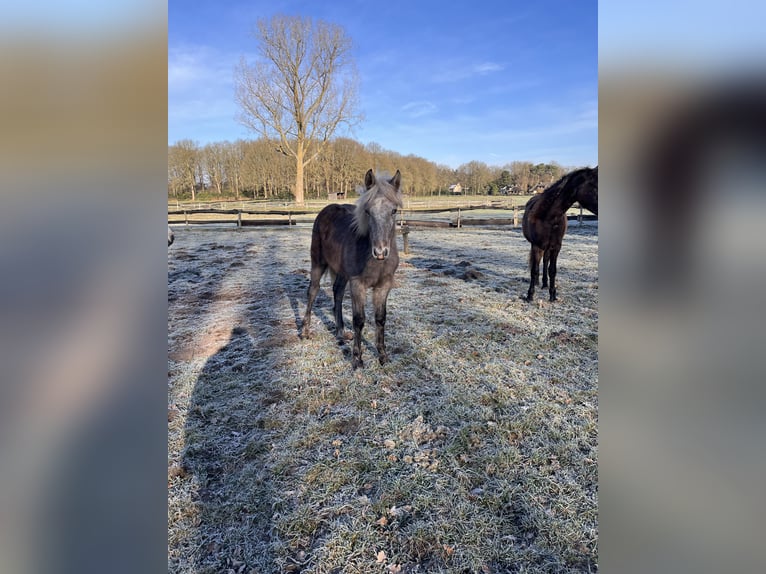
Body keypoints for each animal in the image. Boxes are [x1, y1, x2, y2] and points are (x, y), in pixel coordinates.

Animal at [302, 169, 403, 369]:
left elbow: (380, 318)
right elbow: (359, 320)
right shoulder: (358, 284)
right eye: (367, 211)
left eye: (394, 211)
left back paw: (341, 332)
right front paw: (357, 359)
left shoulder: (384, 285)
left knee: (338, 292)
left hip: (342, 272)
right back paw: (305, 331)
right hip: (318, 263)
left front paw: (383, 356)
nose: (380, 252)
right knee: (313, 291)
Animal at [521, 166, 598, 302]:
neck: (548, 217)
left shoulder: (556, 247)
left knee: (545, 261)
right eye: (594, 185)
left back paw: (545, 284)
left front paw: (552, 295)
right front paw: (530, 295)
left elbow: (552, 270)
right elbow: (534, 270)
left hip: (548, 247)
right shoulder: (536, 245)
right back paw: (537, 283)